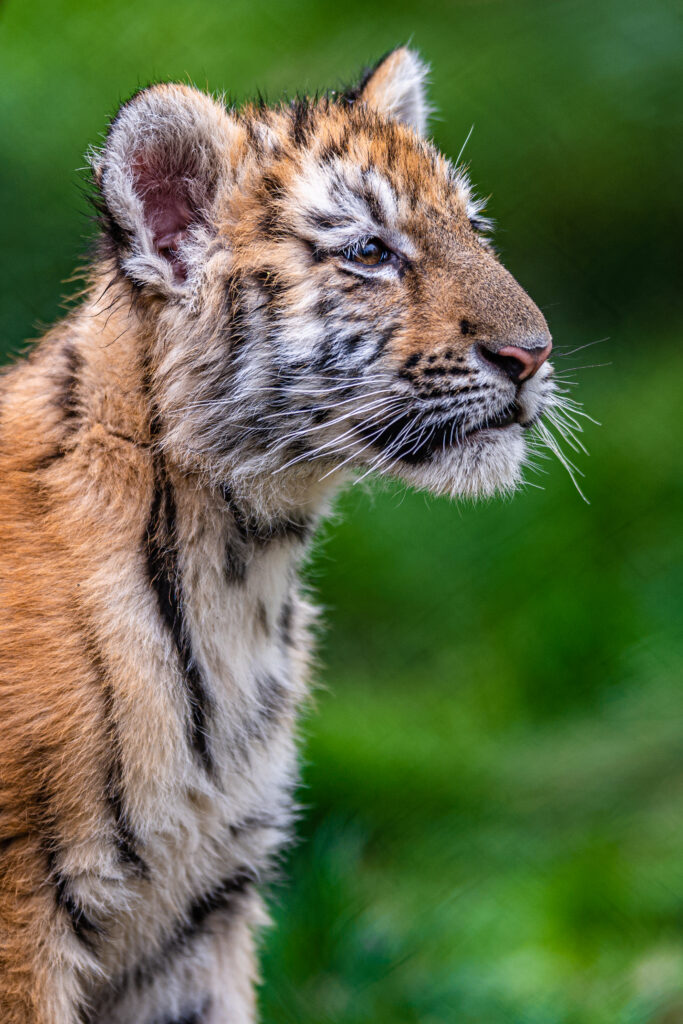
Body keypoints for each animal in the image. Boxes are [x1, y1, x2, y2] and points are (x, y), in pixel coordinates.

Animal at [0, 47, 560, 1024]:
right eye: (370, 252)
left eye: (473, 229)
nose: (534, 352)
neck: (245, 560)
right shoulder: (21, 911)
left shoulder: (197, 912)